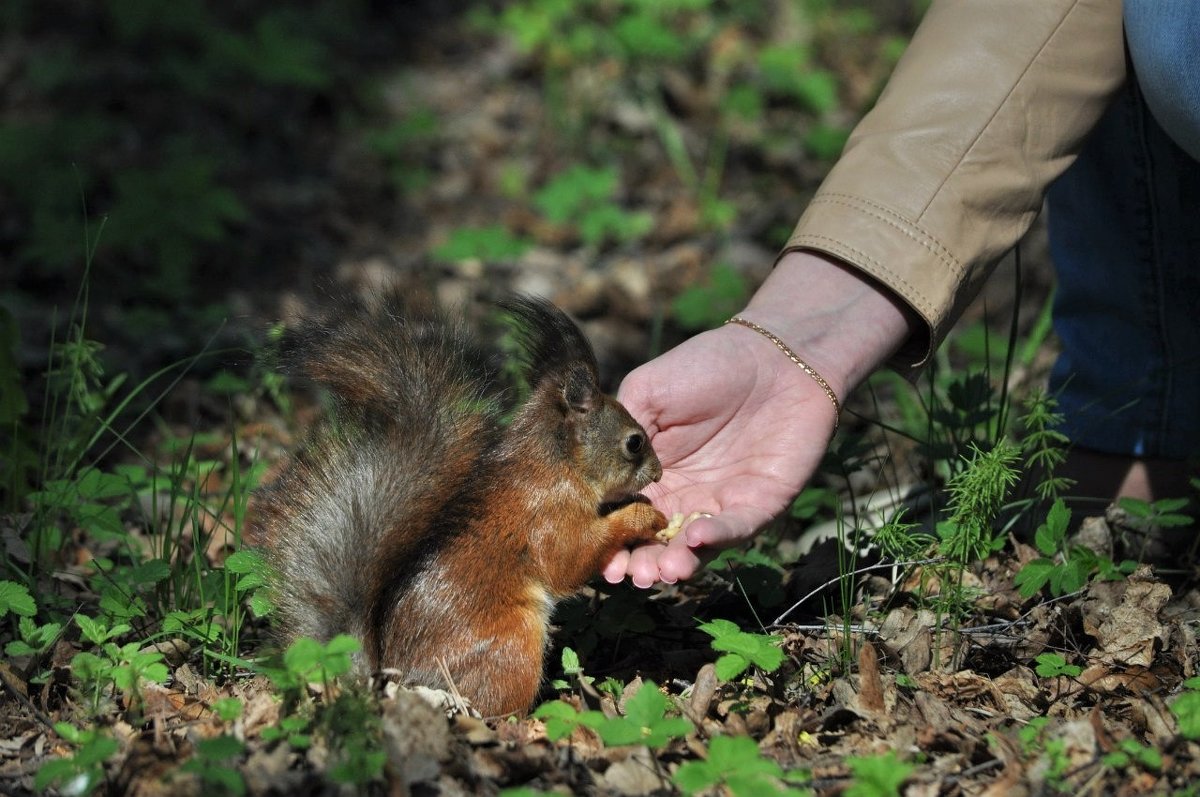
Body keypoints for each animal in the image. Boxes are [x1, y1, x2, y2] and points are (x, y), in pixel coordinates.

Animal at [248, 294, 672, 715]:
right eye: (634, 442)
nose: (658, 472)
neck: (556, 463)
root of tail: (397, 682)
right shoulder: (548, 515)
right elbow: (570, 559)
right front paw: (642, 515)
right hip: (512, 649)